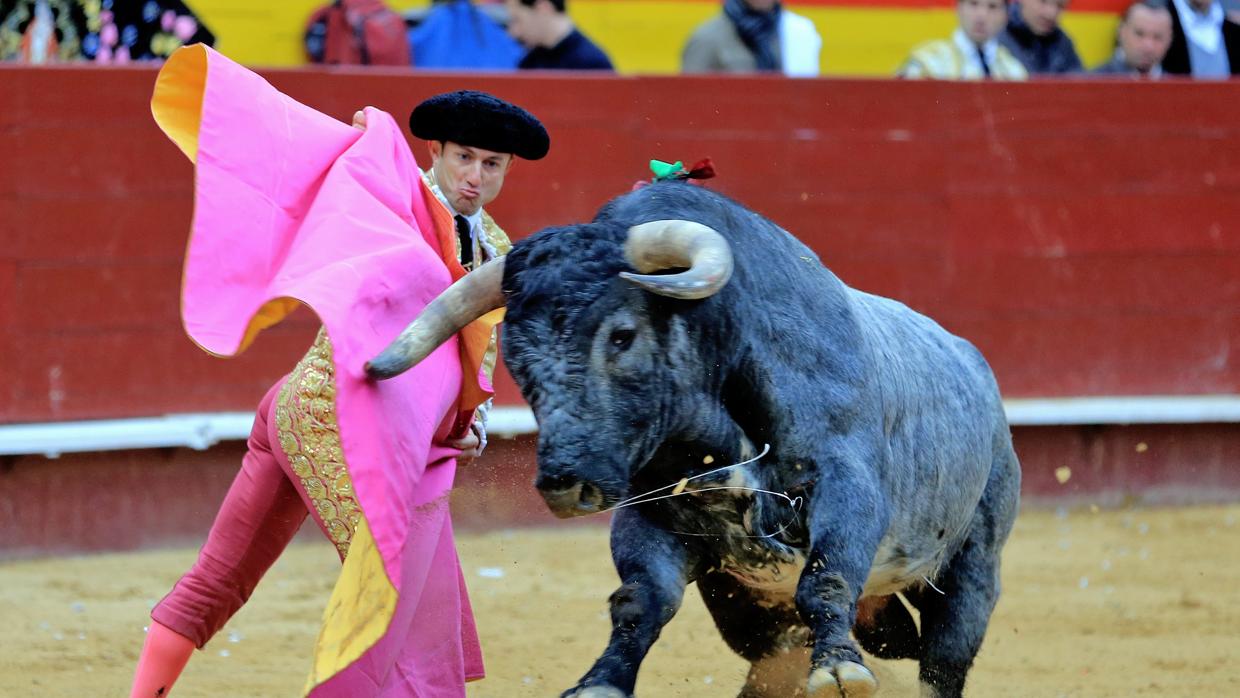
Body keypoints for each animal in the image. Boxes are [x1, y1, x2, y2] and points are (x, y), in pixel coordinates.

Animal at [364, 184, 1016, 698]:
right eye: (517, 361)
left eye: (622, 335)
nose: (565, 485)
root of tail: (977, 368)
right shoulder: (651, 515)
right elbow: (641, 600)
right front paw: (599, 682)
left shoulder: (848, 487)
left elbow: (827, 577)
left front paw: (837, 670)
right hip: (751, 614)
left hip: (974, 566)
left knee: (945, 656)